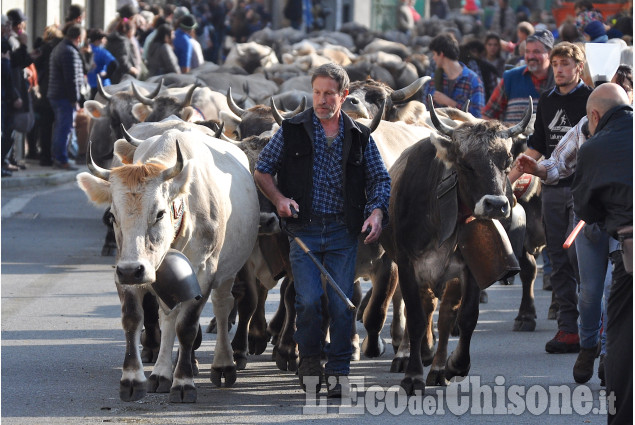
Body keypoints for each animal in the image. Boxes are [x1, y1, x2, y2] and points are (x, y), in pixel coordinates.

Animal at [76, 122, 260, 400]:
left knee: (222, 305)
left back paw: (223, 365)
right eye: (113, 216)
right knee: (168, 316)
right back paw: (161, 374)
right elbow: (133, 318)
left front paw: (183, 382)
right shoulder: (126, 267)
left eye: (160, 213)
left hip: (228, 271)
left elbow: (187, 326)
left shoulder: (204, 272)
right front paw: (133, 379)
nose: (132, 271)